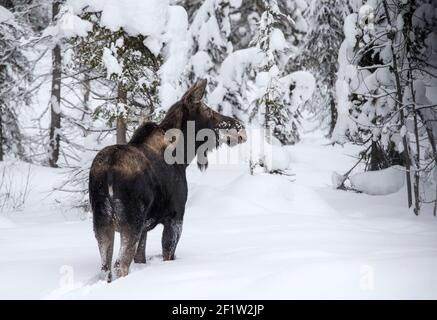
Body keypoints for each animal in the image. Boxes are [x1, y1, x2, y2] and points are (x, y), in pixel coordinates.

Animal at [87, 79, 249, 282]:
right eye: (209, 111)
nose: (241, 128)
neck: (184, 156)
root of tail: (108, 170)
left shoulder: (145, 229)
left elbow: (141, 258)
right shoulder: (175, 217)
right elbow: (168, 255)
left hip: (102, 221)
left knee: (105, 267)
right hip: (131, 221)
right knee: (120, 265)